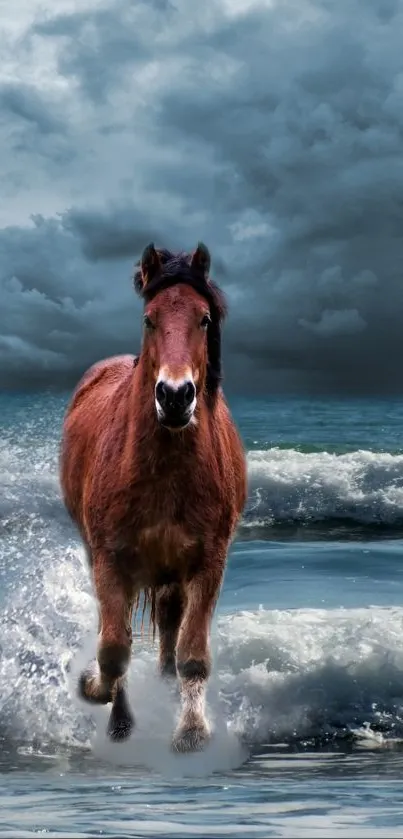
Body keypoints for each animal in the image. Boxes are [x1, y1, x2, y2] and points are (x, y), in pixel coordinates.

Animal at [60, 243, 248, 756]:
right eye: (149, 319)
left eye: (204, 319)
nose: (176, 395)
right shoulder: (110, 560)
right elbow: (113, 649)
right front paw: (96, 693)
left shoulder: (208, 562)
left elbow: (192, 653)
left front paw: (192, 730)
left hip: (171, 575)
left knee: (168, 631)